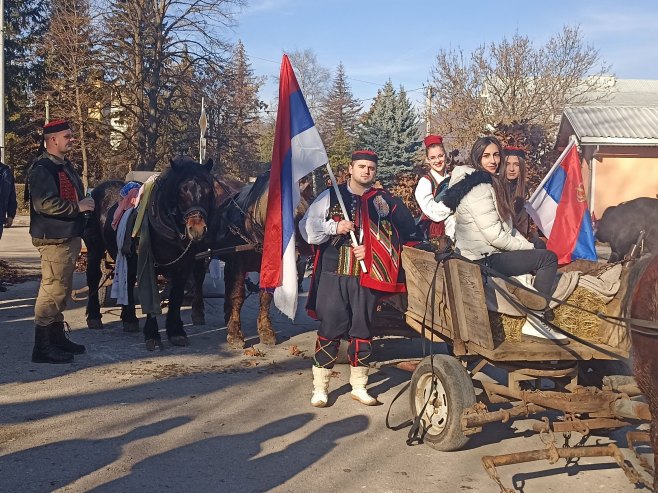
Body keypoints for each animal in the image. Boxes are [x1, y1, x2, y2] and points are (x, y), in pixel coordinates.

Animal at [83, 156, 218, 348]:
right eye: (182, 190)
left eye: (207, 190)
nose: (197, 229)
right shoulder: (149, 264)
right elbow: (150, 295)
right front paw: (152, 334)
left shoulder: (183, 266)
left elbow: (176, 297)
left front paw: (176, 332)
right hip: (95, 249)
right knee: (94, 277)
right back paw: (94, 316)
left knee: (128, 279)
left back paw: (129, 319)